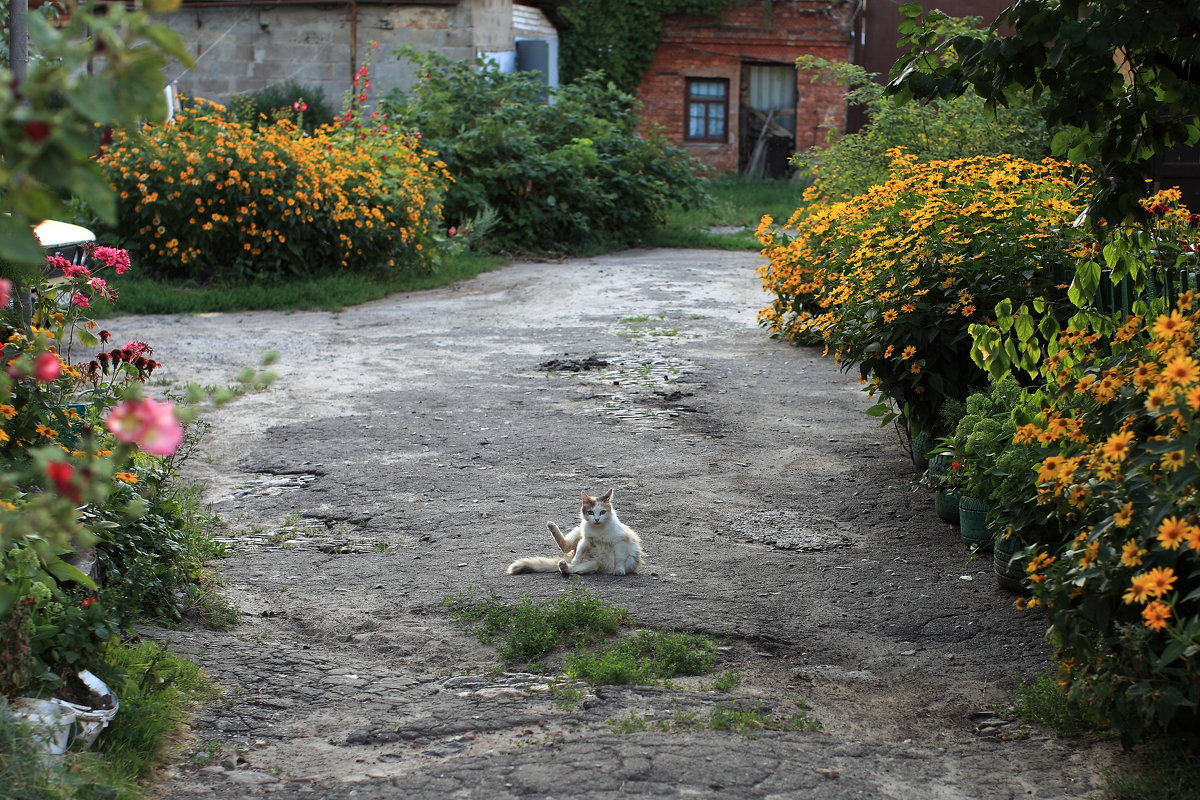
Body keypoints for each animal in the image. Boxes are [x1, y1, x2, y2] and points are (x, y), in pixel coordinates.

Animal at [504, 489, 643, 575]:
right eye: (591, 512)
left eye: (602, 512)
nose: (597, 519)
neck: (599, 530)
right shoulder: (586, 539)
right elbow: (581, 548)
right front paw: (576, 559)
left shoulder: (621, 541)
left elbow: (620, 557)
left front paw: (619, 570)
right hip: (579, 531)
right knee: (567, 549)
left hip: (593, 564)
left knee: (573, 567)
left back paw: (565, 566)